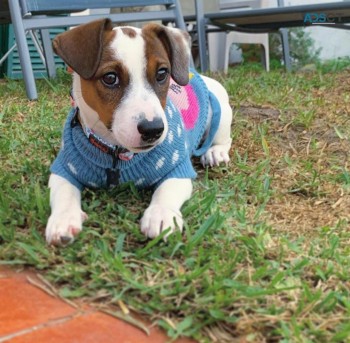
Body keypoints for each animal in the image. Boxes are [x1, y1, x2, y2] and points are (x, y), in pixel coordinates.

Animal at [46, 18, 232, 246]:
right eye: (110, 77)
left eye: (162, 73)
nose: (153, 130)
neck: (116, 152)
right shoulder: (64, 168)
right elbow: (64, 192)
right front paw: (63, 218)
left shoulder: (178, 168)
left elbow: (167, 191)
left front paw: (161, 214)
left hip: (221, 115)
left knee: (224, 138)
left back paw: (216, 153)